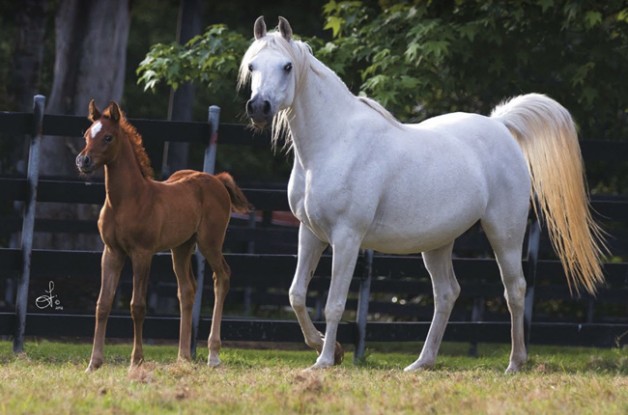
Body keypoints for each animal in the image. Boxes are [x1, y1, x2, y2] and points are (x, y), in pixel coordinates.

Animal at [79, 100, 253, 370]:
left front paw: (137, 360)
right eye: (87, 134)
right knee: (187, 290)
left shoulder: (142, 253)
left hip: (210, 242)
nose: (83, 161)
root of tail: (216, 180)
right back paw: (183, 356)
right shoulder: (112, 252)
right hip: (181, 247)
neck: (127, 200)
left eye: (108, 137)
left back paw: (213, 355)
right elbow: (103, 304)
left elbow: (137, 306)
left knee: (222, 276)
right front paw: (94, 363)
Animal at [239, 16, 604, 374]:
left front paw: (325, 360)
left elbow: (334, 303)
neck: (334, 143)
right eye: (253, 66)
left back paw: (515, 362)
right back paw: (421, 362)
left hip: (504, 232)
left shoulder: (346, 237)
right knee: (447, 294)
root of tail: (500, 126)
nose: (259, 108)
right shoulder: (310, 233)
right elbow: (297, 295)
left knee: (514, 289)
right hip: (437, 243)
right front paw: (329, 349)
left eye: (287, 66)